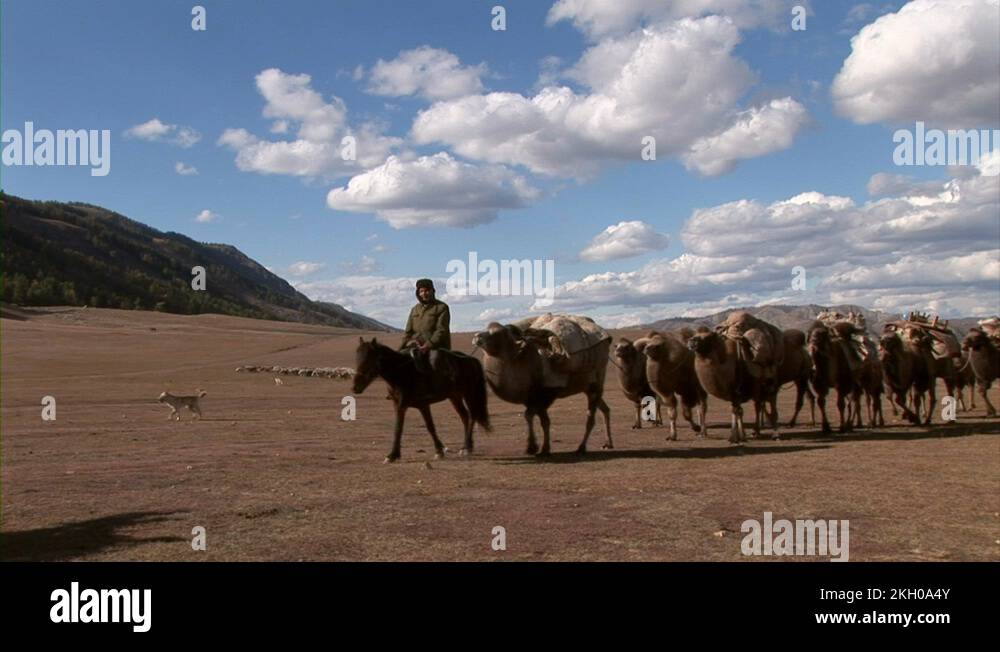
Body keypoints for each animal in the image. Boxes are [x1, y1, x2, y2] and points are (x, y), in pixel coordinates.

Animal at [472, 322, 611, 456]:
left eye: (498, 333)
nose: (477, 336)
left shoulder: (546, 395)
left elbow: (529, 416)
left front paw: (532, 447)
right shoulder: (532, 399)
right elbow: (545, 422)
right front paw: (544, 449)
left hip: (597, 381)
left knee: (591, 418)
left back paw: (581, 447)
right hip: (587, 387)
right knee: (604, 408)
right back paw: (608, 443)